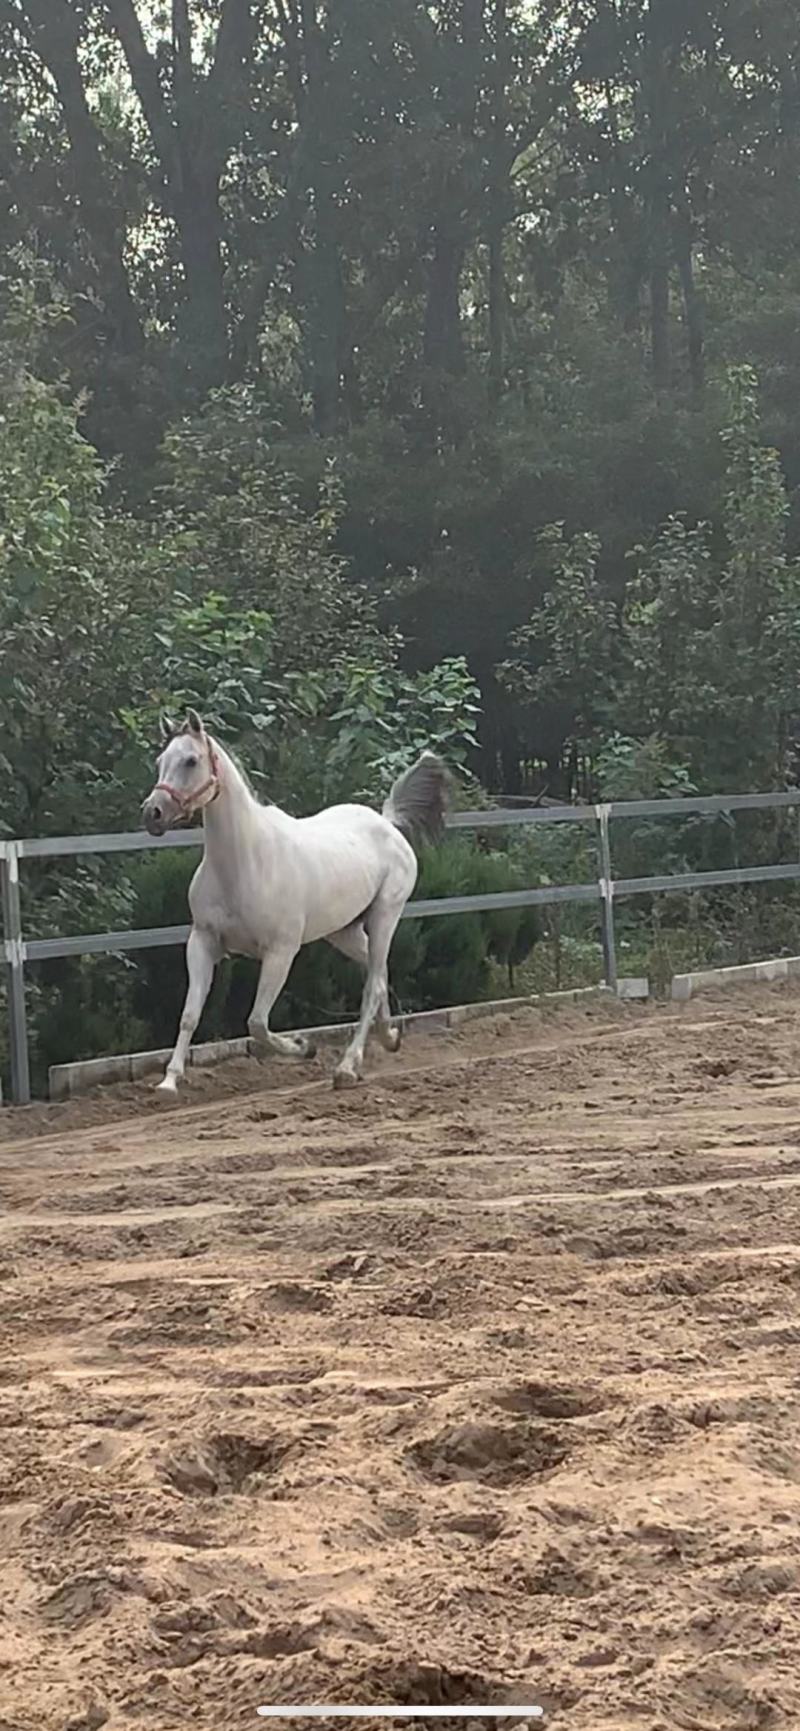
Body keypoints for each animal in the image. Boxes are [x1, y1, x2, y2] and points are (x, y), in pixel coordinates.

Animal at [141, 711, 449, 1096]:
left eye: (191, 760)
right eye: (159, 762)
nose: (152, 813)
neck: (245, 863)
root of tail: (387, 822)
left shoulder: (280, 952)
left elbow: (257, 1023)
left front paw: (305, 1047)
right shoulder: (202, 941)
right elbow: (189, 1015)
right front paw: (169, 1082)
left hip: (384, 917)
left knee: (372, 986)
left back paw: (347, 1067)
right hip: (344, 932)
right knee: (378, 976)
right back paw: (389, 1036)